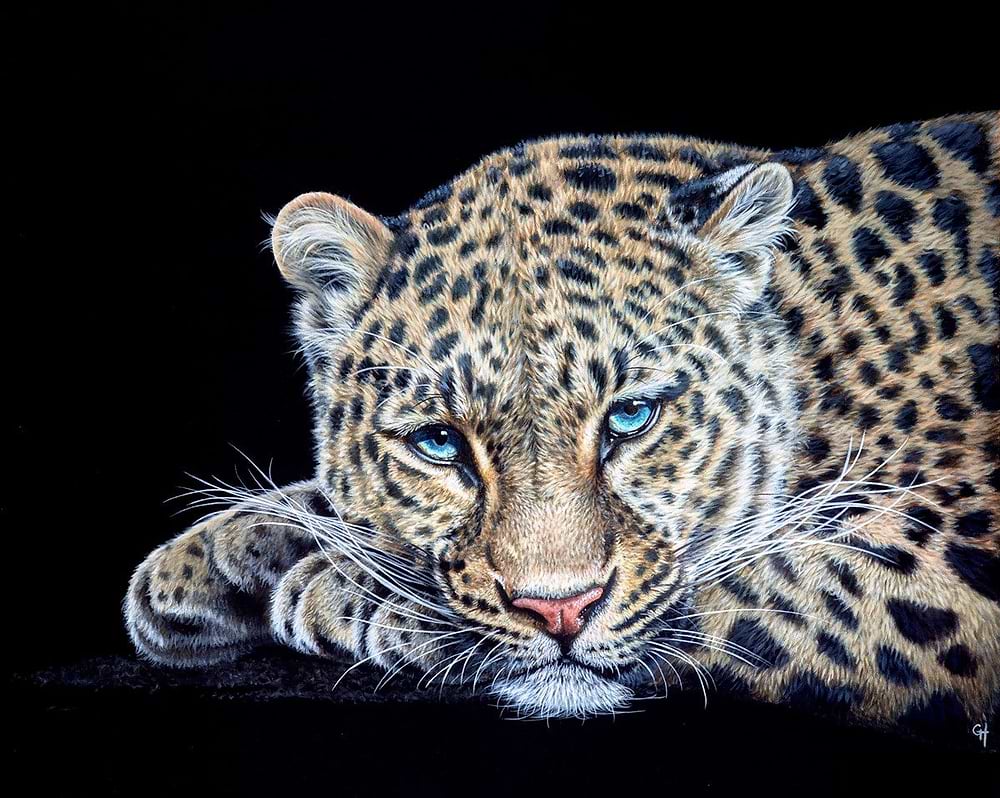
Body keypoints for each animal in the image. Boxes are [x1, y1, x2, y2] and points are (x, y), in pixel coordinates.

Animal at [125, 112, 999, 733]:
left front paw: (340, 589)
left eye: (633, 417)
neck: (824, 343)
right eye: (439, 443)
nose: (559, 611)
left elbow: (747, 582)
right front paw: (208, 564)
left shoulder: (961, 555)